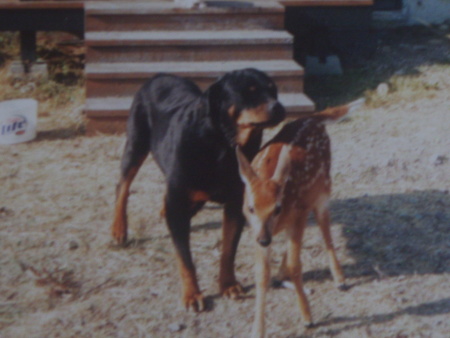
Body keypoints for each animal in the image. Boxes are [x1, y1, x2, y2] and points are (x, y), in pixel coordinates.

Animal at [112, 68, 284, 312]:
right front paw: (192, 294)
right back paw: (119, 228)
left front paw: (228, 284)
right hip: (136, 143)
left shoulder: (236, 204)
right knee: (123, 186)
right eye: (248, 92)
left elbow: (228, 249)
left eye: (273, 90)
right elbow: (185, 258)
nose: (277, 107)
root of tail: (159, 75)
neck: (223, 143)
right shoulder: (179, 204)